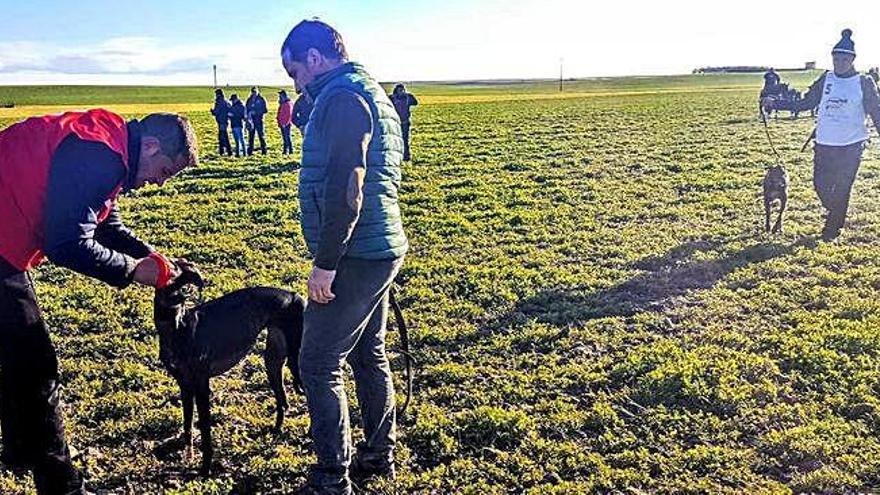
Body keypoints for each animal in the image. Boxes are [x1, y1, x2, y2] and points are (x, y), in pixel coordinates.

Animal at [156, 268, 308, 476]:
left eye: (182, 291)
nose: (177, 318)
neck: (175, 332)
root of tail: (295, 296)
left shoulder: (201, 386)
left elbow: (205, 428)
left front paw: (205, 469)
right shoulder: (185, 386)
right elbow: (187, 425)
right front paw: (188, 457)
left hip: (297, 362)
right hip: (272, 361)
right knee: (283, 402)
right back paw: (275, 432)